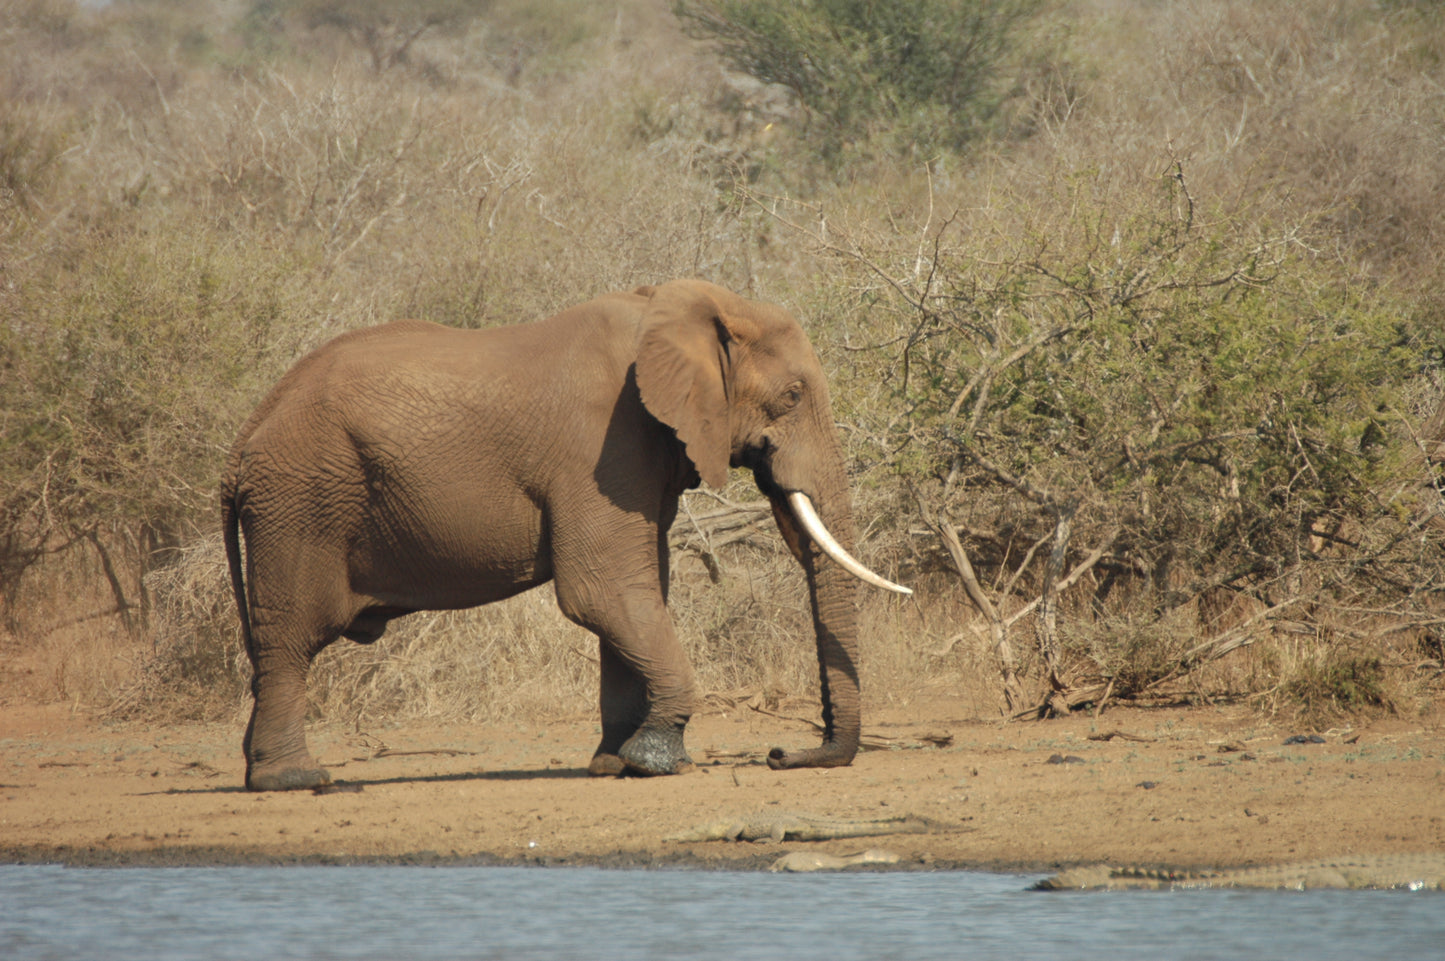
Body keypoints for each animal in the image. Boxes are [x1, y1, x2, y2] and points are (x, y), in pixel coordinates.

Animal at [219, 277, 907, 786]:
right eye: (792, 396)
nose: (780, 754)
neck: (675, 309)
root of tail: (243, 440)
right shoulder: (605, 442)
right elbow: (603, 592)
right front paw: (657, 760)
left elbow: (639, 594)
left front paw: (616, 763)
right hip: (300, 499)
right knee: (291, 638)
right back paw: (295, 780)